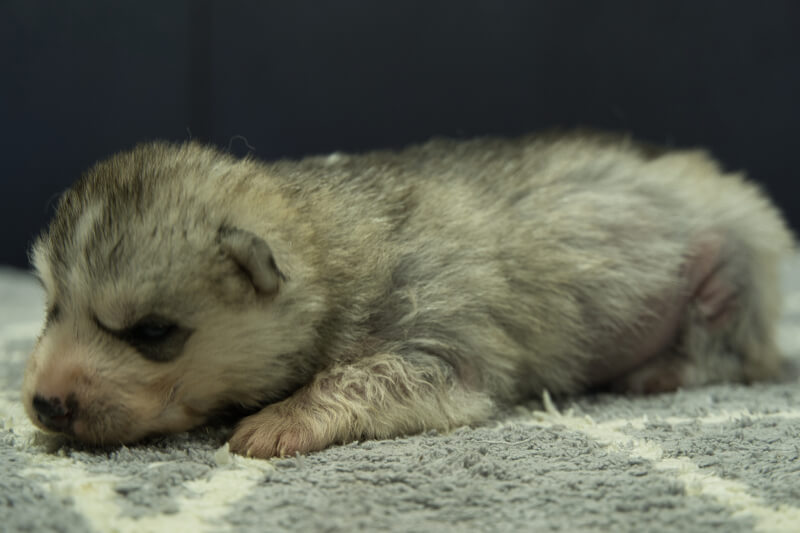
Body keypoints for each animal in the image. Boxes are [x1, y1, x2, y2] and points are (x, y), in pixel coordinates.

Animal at [20, 133, 792, 458]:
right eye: (52, 307)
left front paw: (284, 417)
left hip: (731, 264)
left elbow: (370, 374)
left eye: (152, 332)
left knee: (726, 346)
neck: (322, 234)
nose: (44, 403)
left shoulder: (445, 344)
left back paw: (661, 369)